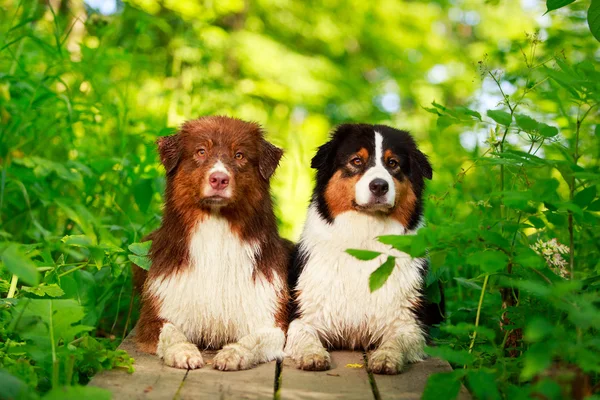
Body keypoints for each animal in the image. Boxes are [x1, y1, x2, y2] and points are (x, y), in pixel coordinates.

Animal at [138, 115, 290, 372]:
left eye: (239, 155)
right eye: (201, 151)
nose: (219, 179)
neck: (216, 231)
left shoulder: (271, 318)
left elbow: (255, 338)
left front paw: (234, 354)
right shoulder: (154, 316)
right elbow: (171, 332)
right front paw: (183, 352)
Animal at [284, 122, 438, 376]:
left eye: (393, 163)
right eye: (356, 161)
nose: (379, 186)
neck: (365, 244)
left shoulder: (408, 321)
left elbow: (396, 340)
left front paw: (386, 357)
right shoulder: (307, 313)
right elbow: (303, 335)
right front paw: (312, 355)